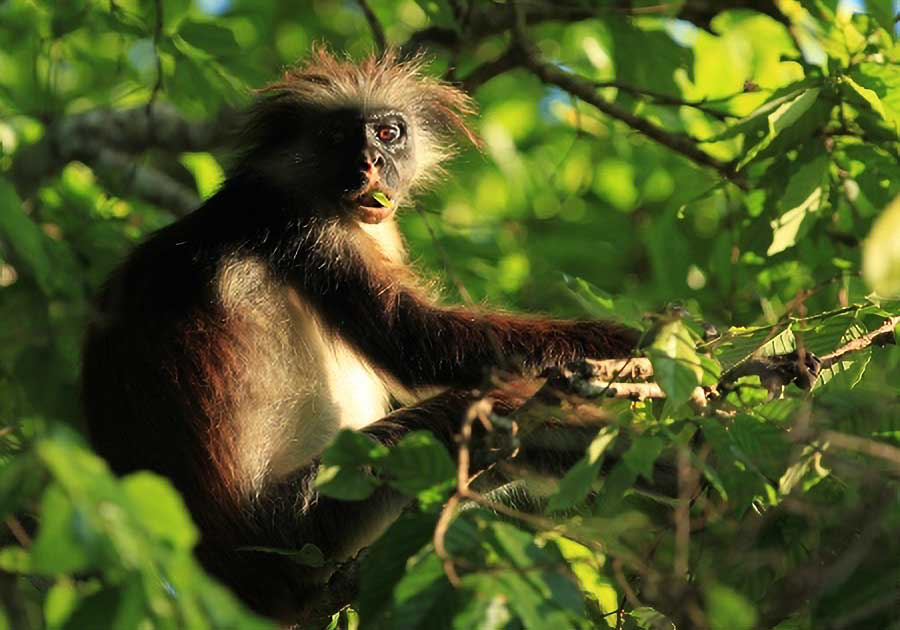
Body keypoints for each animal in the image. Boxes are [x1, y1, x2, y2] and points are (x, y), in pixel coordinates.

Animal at [81, 49, 636, 624]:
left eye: (388, 133)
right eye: (337, 137)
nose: (370, 163)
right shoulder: (306, 228)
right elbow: (422, 345)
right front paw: (640, 344)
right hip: (304, 519)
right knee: (484, 410)